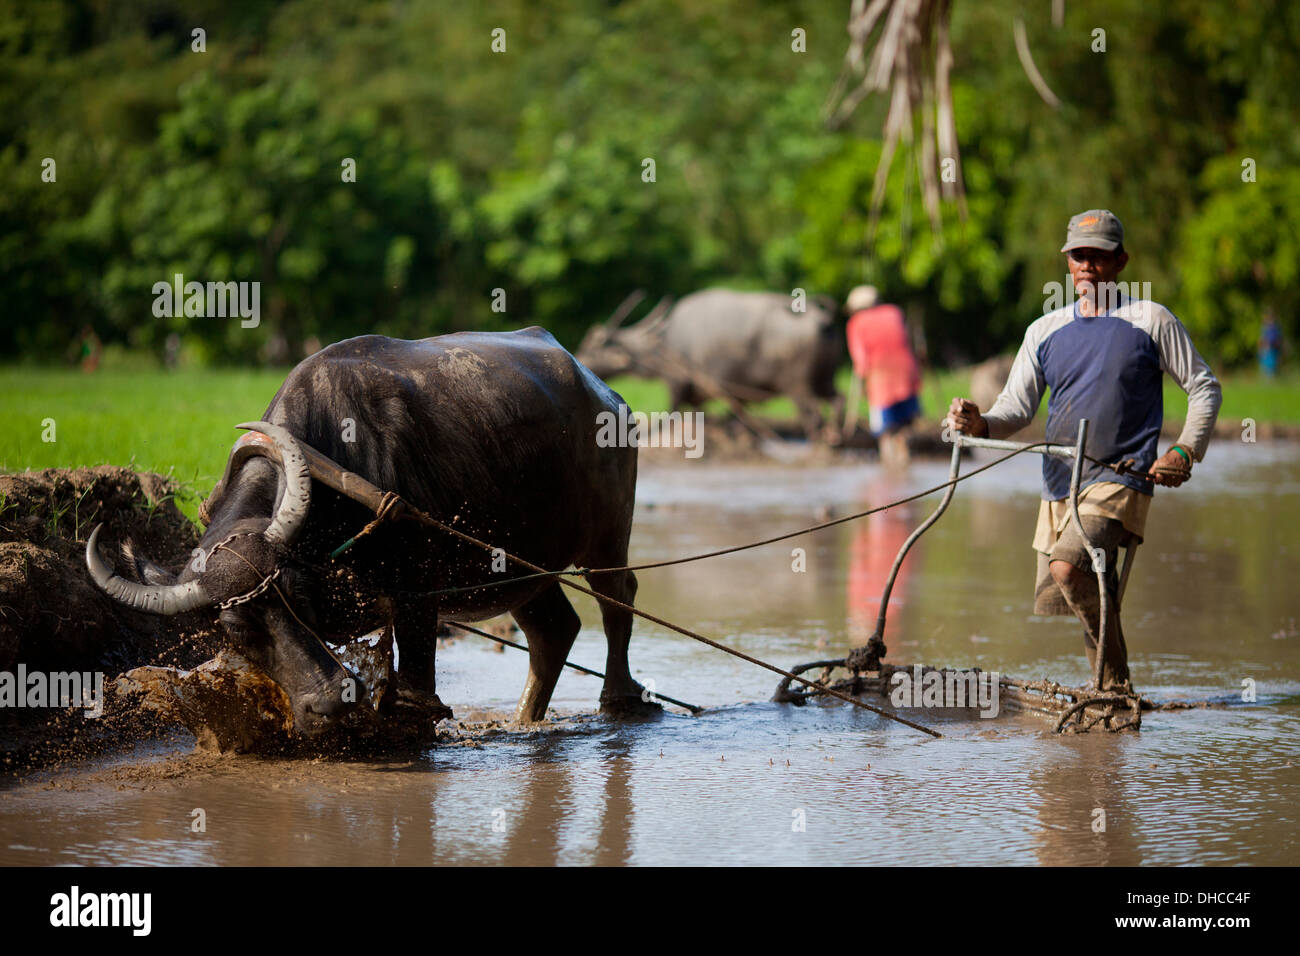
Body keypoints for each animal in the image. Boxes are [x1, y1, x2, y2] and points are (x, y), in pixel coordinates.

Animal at [86, 327, 644, 733]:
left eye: (297, 596)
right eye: (238, 629)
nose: (331, 703)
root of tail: (606, 393)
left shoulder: (417, 592)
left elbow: (417, 689)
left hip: (606, 538)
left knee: (619, 597)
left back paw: (620, 698)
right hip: (518, 563)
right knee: (554, 629)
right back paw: (525, 721)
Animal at [577, 290, 842, 442]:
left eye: (593, 346)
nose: (579, 355)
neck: (666, 345)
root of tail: (823, 319)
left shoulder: (677, 386)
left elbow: (667, 418)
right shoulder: (704, 397)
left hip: (798, 387)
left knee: (814, 417)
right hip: (824, 380)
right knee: (837, 402)